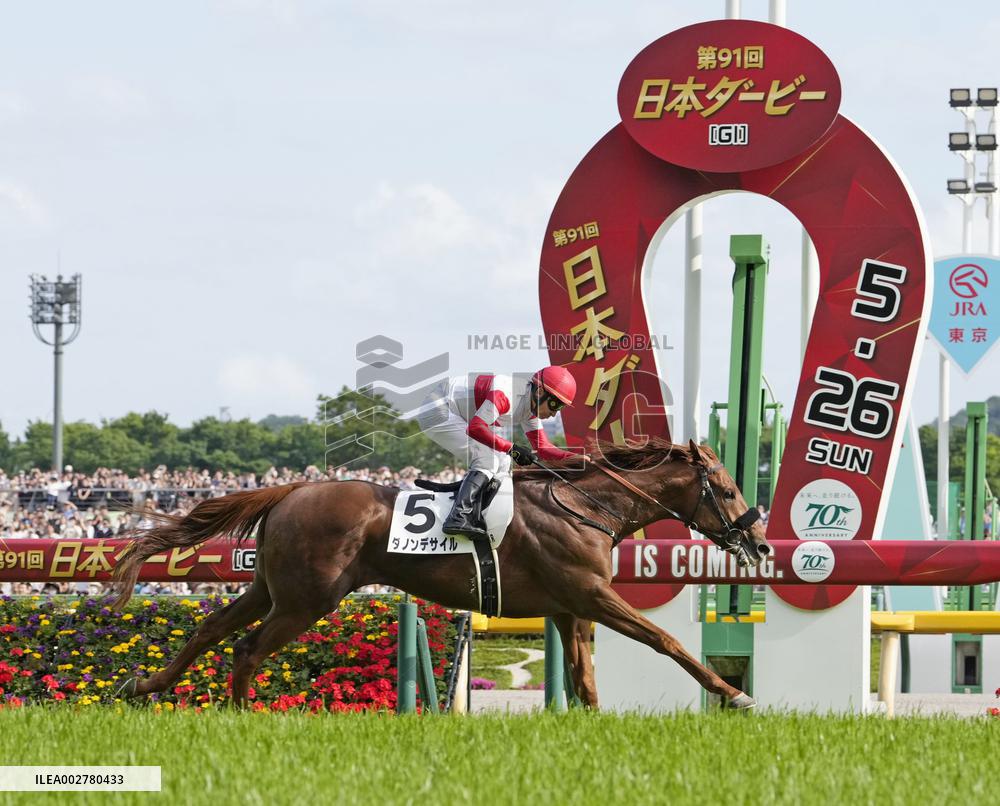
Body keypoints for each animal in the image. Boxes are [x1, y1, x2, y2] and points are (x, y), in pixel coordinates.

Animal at [111, 438, 771, 709]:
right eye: (729, 489)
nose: (760, 541)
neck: (585, 506)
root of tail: (292, 491)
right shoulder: (591, 594)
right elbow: (666, 640)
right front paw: (734, 693)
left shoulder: (569, 607)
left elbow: (584, 677)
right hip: (307, 600)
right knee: (246, 648)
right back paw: (241, 714)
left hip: (269, 589)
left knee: (208, 631)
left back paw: (143, 685)